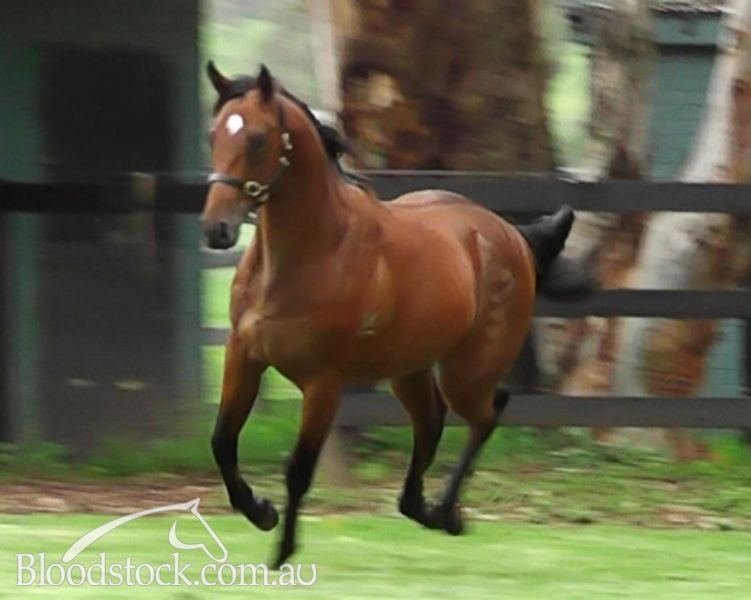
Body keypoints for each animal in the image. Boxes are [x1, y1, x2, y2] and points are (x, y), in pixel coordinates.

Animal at [202, 62, 590, 567]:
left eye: (257, 139)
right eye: (213, 134)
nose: (217, 229)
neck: (313, 252)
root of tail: (513, 236)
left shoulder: (324, 383)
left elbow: (299, 470)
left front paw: (280, 552)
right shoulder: (245, 356)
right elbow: (222, 442)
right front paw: (260, 510)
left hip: (465, 372)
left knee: (488, 412)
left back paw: (447, 512)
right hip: (409, 371)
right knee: (432, 422)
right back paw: (421, 508)